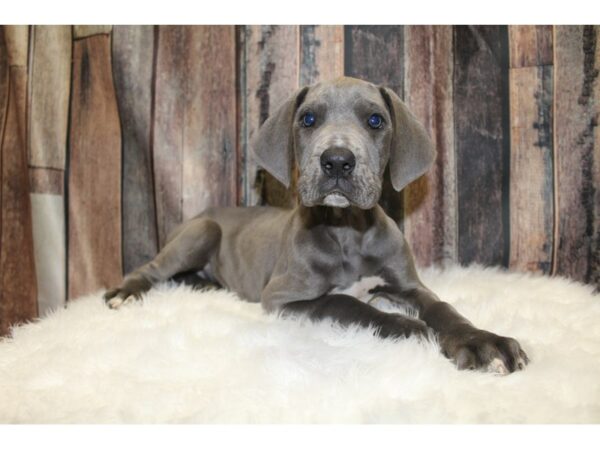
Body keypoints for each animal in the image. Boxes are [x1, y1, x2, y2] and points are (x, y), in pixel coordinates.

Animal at [104, 76, 528, 372]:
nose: (337, 160)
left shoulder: (408, 284)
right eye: (308, 119)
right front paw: (406, 327)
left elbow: (442, 307)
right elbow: (342, 301)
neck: (346, 229)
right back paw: (125, 292)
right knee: (150, 268)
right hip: (200, 231)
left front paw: (482, 342)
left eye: (376, 120)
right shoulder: (281, 296)